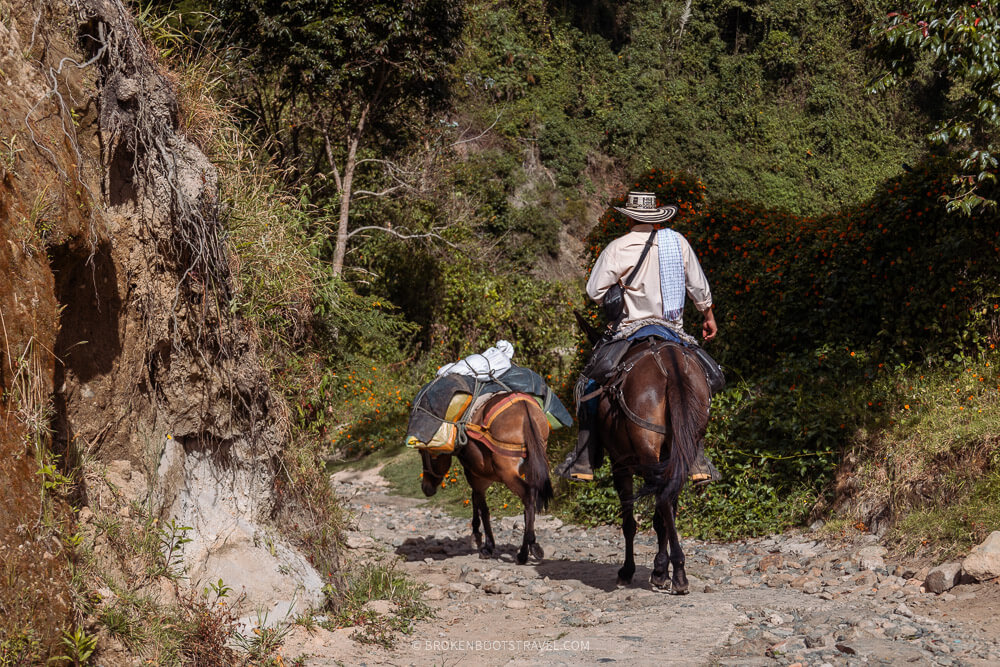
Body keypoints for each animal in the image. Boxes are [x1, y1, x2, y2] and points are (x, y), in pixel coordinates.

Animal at [416, 394, 556, 568]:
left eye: (423, 453)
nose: (426, 488)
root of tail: (524, 406)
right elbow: (477, 501)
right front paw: (479, 537)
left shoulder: (476, 475)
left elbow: (482, 507)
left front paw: (486, 545)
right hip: (532, 465)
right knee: (529, 501)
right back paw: (532, 547)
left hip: (508, 473)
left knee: (528, 496)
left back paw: (525, 553)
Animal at [576, 316, 708, 592]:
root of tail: (670, 360)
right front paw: (661, 569)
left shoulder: (620, 465)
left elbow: (629, 522)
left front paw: (628, 570)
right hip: (682, 448)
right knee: (666, 502)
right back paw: (672, 570)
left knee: (662, 501)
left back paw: (677, 573)